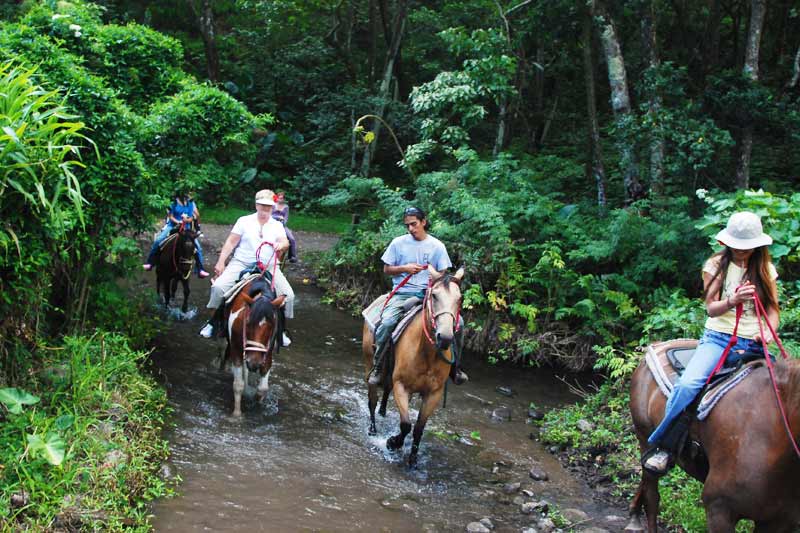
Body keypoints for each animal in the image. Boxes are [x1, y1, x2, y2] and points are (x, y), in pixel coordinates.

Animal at [223, 276, 286, 418]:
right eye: (247, 322)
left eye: (272, 325)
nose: (254, 363)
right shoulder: (236, 350)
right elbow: (238, 385)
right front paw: (237, 414)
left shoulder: (267, 353)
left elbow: (262, 389)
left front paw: (257, 402)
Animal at [360, 266, 466, 466]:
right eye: (434, 296)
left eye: (460, 298)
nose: (445, 337)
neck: (426, 353)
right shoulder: (401, 386)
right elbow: (406, 425)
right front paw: (392, 443)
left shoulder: (433, 393)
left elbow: (418, 428)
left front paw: (413, 459)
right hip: (370, 362)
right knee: (372, 399)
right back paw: (372, 430)